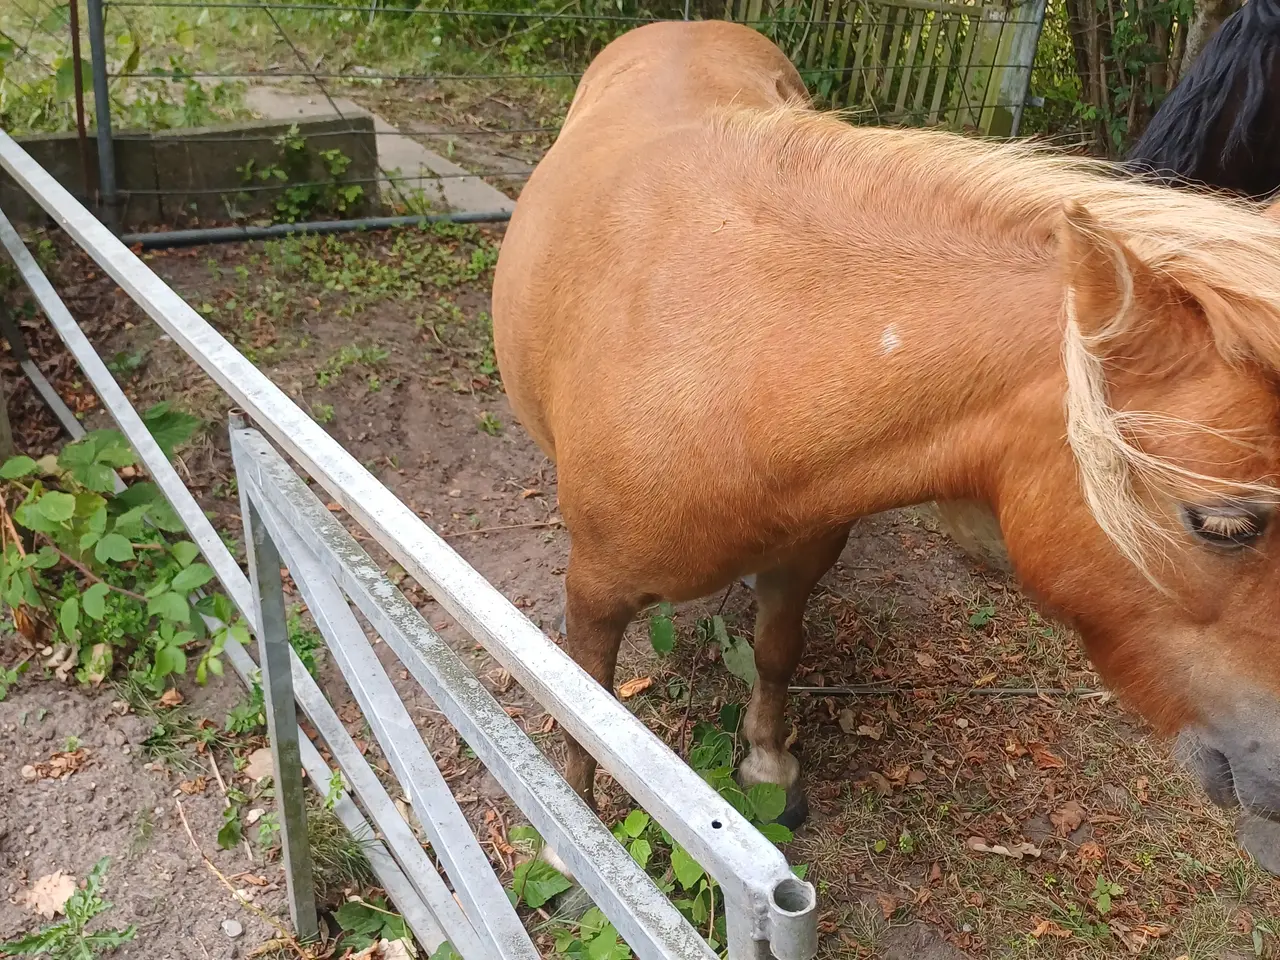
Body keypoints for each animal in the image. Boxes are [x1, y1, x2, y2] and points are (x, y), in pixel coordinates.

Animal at [492, 20, 1280, 831]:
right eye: (1224, 525)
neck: (739, 366)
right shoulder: (594, 595)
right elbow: (586, 711)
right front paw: (571, 825)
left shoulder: (800, 560)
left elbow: (777, 650)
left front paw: (769, 765)